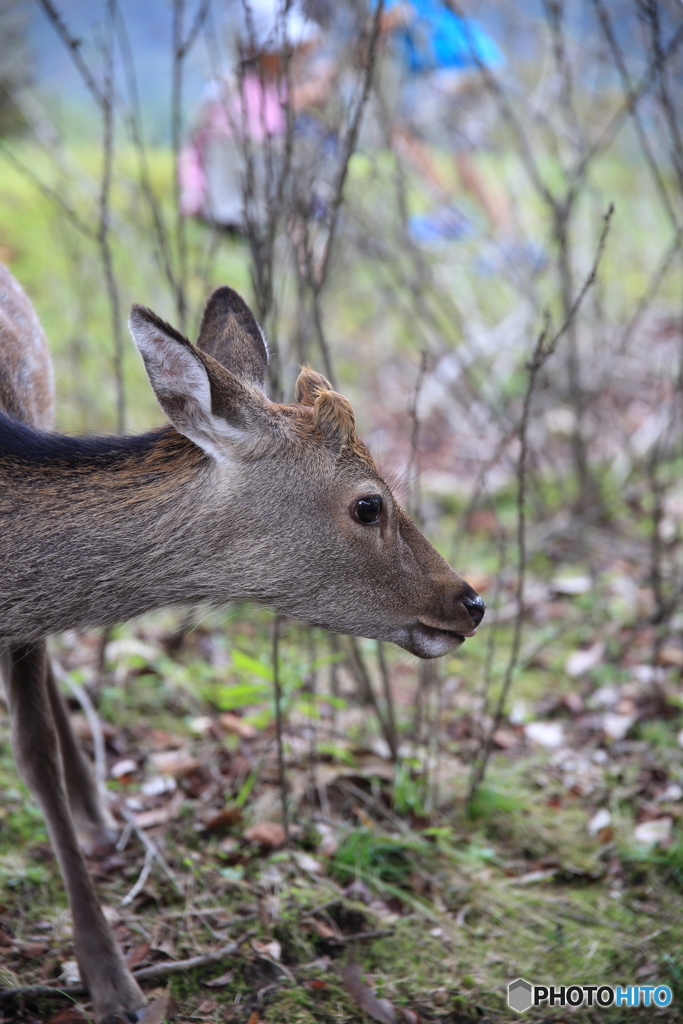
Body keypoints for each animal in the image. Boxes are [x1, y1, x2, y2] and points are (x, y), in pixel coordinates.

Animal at [0, 266, 485, 1024]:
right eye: (368, 504)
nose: (470, 603)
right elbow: (32, 753)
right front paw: (113, 985)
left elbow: (35, 749)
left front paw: (110, 978)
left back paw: (98, 818)